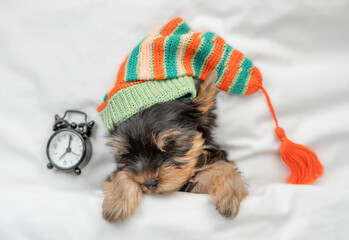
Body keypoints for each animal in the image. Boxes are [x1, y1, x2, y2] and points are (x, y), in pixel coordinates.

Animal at [101, 71, 247, 223]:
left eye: (170, 145)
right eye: (127, 154)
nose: (150, 183)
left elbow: (223, 166)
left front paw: (228, 196)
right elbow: (122, 172)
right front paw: (117, 202)